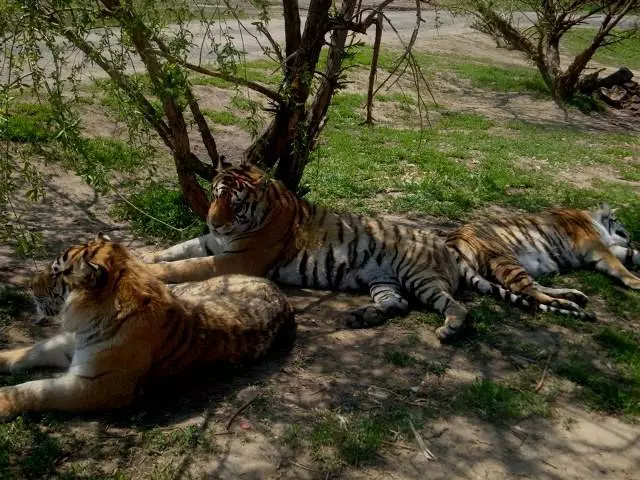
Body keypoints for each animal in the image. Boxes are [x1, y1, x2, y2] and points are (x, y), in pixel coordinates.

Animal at [0, 234, 294, 418]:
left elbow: (36, 389)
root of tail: (275, 288)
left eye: (54, 273)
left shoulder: (97, 385)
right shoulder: (73, 343)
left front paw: (4, 401)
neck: (91, 318)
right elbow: (33, 351)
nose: (29, 285)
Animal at [444, 203, 640, 318]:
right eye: (618, 220)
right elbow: (618, 266)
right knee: (529, 292)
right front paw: (636, 281)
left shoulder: (609, 247)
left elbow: (632, 254)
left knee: (533, 288)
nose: (630, 235)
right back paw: (568, 304)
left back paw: (573, 296)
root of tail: (451, 241)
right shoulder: (597, 247)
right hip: (505, 259)